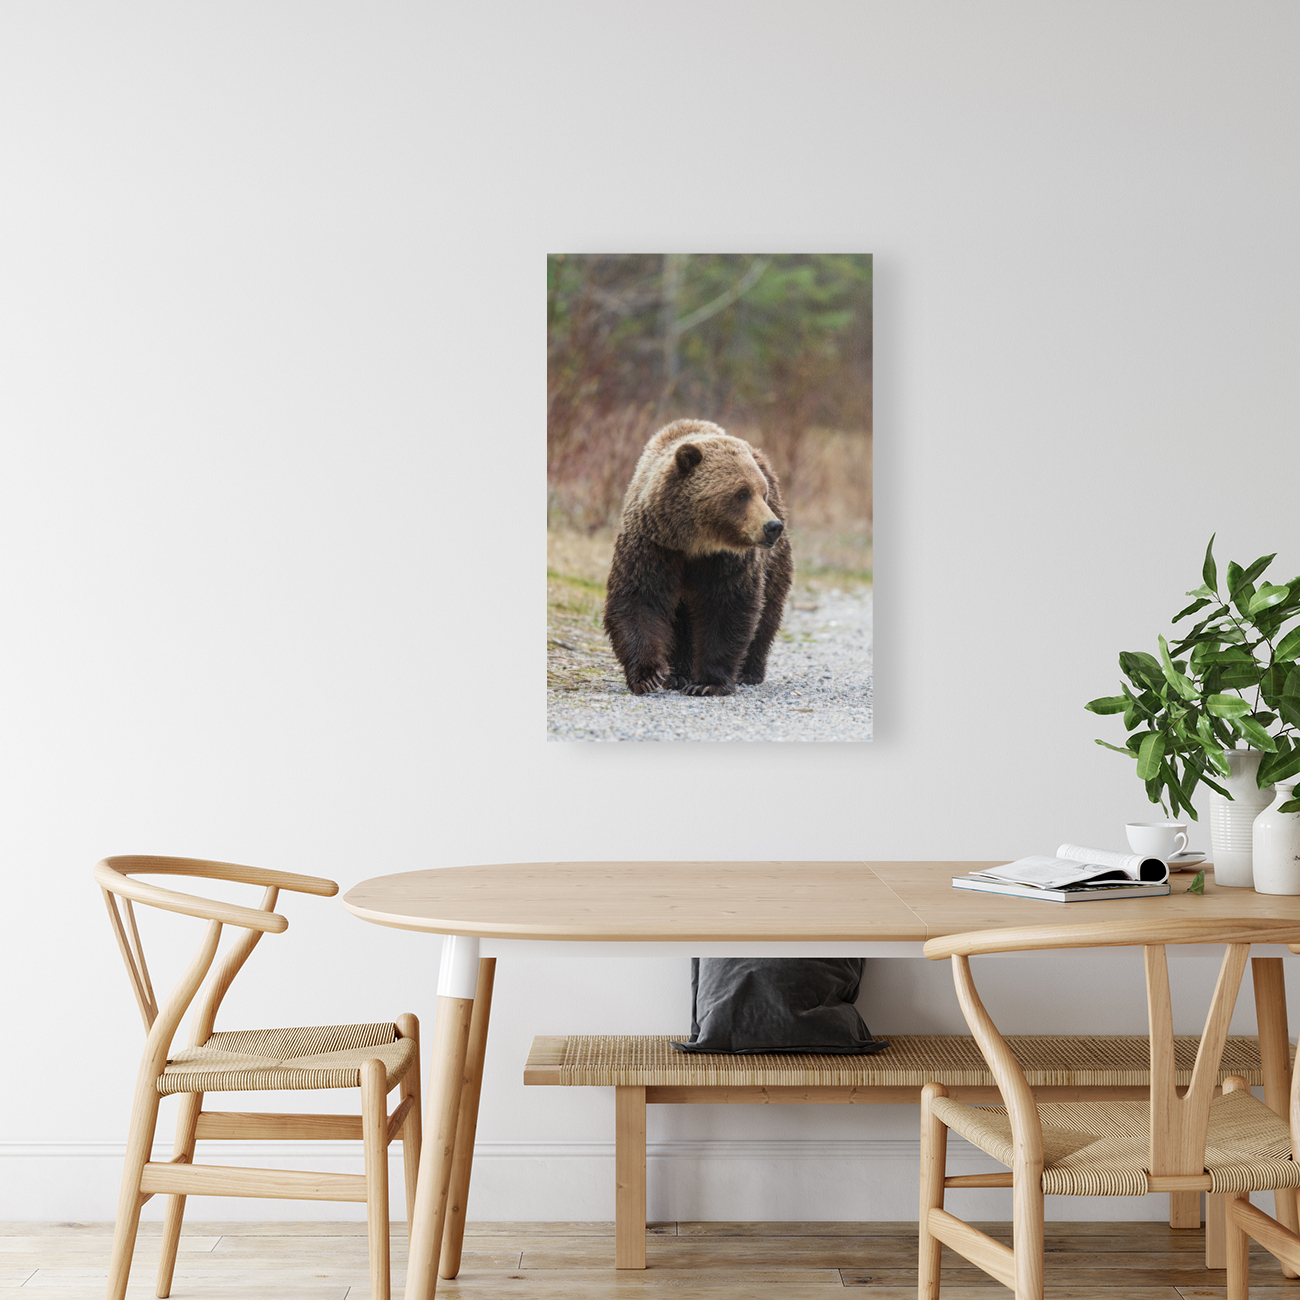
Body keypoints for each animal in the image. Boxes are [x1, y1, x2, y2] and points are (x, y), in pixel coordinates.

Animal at [603, 419, 794, 697]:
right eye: (742, 493)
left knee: (768, 609)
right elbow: (639, 599)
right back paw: (678, 674)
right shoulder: (652, 546)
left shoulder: (728, 560)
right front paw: (649, 675)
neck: (692, 542)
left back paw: (749, 671)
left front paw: (707, 682)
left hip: (774, 562)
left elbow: (727, 606)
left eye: (763, 492)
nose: (772, 526)